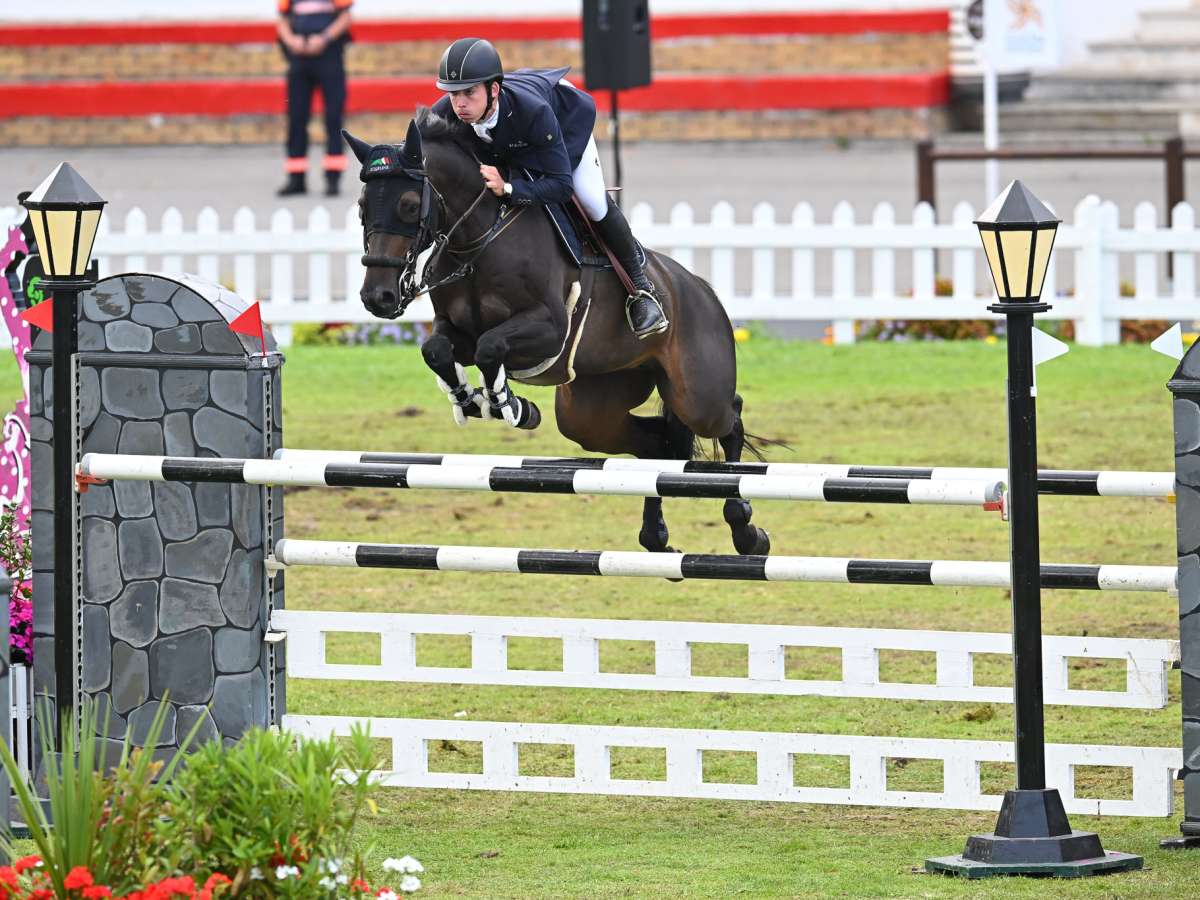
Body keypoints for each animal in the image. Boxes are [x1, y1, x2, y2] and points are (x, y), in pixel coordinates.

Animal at [340, 112, 768, 556]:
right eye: (362, 207)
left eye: (409, 206)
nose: (378, 297)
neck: (479, 237)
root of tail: (701, 288)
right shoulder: (455, 331)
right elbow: (437, 349)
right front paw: (472, 400)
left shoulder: (548, 330)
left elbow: (492, 347)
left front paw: (511, 405)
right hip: (593, 408)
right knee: (658, 445)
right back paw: (656, 538)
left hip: (696, 395)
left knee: (729, 418)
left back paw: (746, 531)